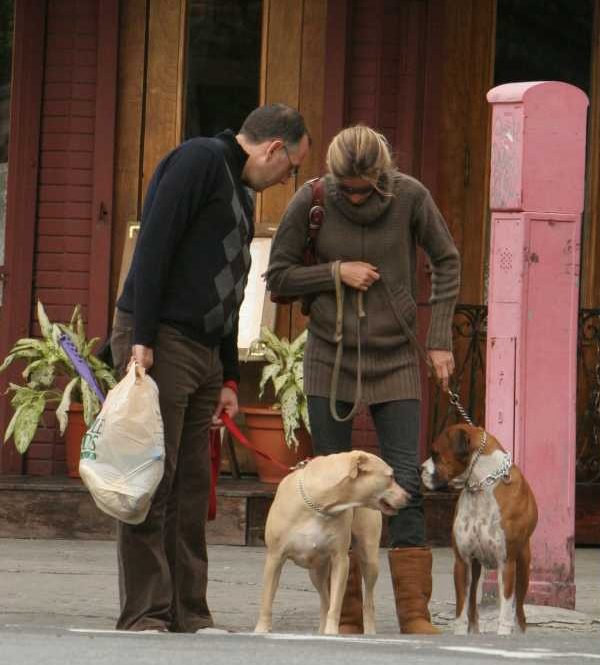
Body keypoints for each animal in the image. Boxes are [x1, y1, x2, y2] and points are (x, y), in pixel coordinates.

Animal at [254, 450, 409, 635]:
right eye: (390, 476)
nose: (409, 497)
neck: (319, 505)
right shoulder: (275, 557)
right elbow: (266, 599)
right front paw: (262, 629)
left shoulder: (340, 560)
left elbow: (336, 603)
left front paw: (332, 631)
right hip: (316, 572)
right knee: (324, 600)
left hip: (369, 559)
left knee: (367, 601)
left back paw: (369, 631)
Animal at [421, 424, 538, 636]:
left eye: (435, 453)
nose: (420, 469)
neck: (481, 487)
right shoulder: (462, 563)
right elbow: (461, 610)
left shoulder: (506, 564)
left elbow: (505, 611)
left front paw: (503, 633)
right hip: (475, 568)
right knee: (473, 603)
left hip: (523, 567)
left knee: (519, 611)